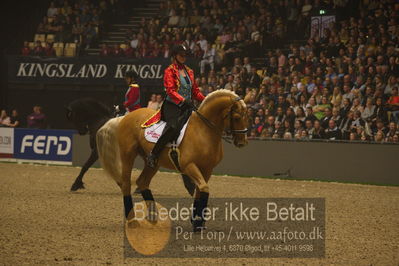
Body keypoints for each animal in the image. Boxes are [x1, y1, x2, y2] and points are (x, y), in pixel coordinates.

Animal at [66, 97, 196, 195]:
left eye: (72, 118)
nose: (81, 132)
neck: (101, 122)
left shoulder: (97, 152)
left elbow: (85, 166)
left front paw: (75, 184)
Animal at [108, 89, 248, 231]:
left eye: (247, 116)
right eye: (237, 117)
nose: (242, 142)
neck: (204, 130)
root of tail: (126, 116)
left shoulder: (207, 169)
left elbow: (200, 191)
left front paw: (197, 222)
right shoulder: (189, 166)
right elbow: (203, 188)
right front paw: (198, 221)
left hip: (153, 163)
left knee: (142, 182)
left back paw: (153, 218)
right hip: (128, 155)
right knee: (126, 184)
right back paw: (132, 220)